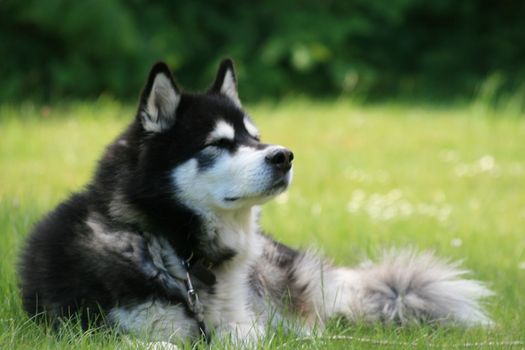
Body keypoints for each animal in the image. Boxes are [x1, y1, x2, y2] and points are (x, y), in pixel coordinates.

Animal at [16, 58, 492, 346]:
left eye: (254, 137)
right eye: (218, 143)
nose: (283, 155)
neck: (172, 247)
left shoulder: (244, 324)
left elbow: (249, 335)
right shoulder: (100, 331)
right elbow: (163, 341)